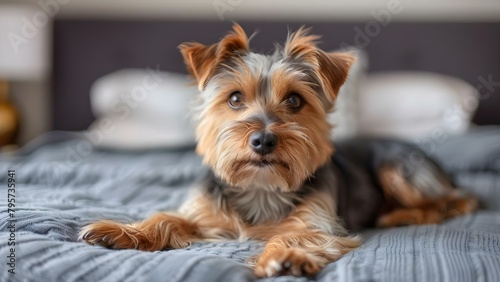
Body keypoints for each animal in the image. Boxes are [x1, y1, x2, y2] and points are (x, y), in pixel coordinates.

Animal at [80, 24, 478, 278]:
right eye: (234, 99)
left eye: (295, 101)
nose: (263, 140)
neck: (261, 186)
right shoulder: (205, 215)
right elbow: (166, 217)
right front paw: (121, 231)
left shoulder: (320, 224)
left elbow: (296, 234)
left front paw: (285, 257)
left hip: (398, 167)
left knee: (457, 200)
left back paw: (400, 215)